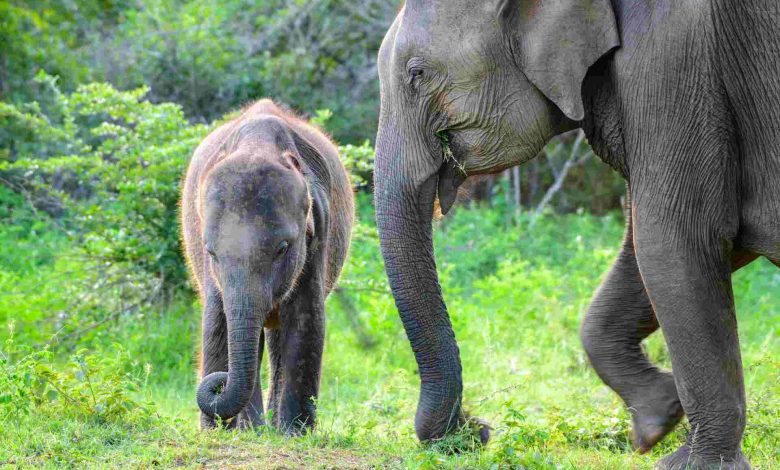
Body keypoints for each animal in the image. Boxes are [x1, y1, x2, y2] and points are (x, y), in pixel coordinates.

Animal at [181, 99, 354, 433]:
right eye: (211, 252)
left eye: (282, 249)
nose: (219, 383)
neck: (257, 144)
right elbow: (218, 321)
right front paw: (224, 431)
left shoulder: (318, 231)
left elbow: (306, 318)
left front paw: (295, 433)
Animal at [373, 1, 779, 468]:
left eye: (418, 73)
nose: (475, 430)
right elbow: (661, 247)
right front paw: (656, 421)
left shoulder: (674, 60)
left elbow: (673, 241)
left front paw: (692, 463)